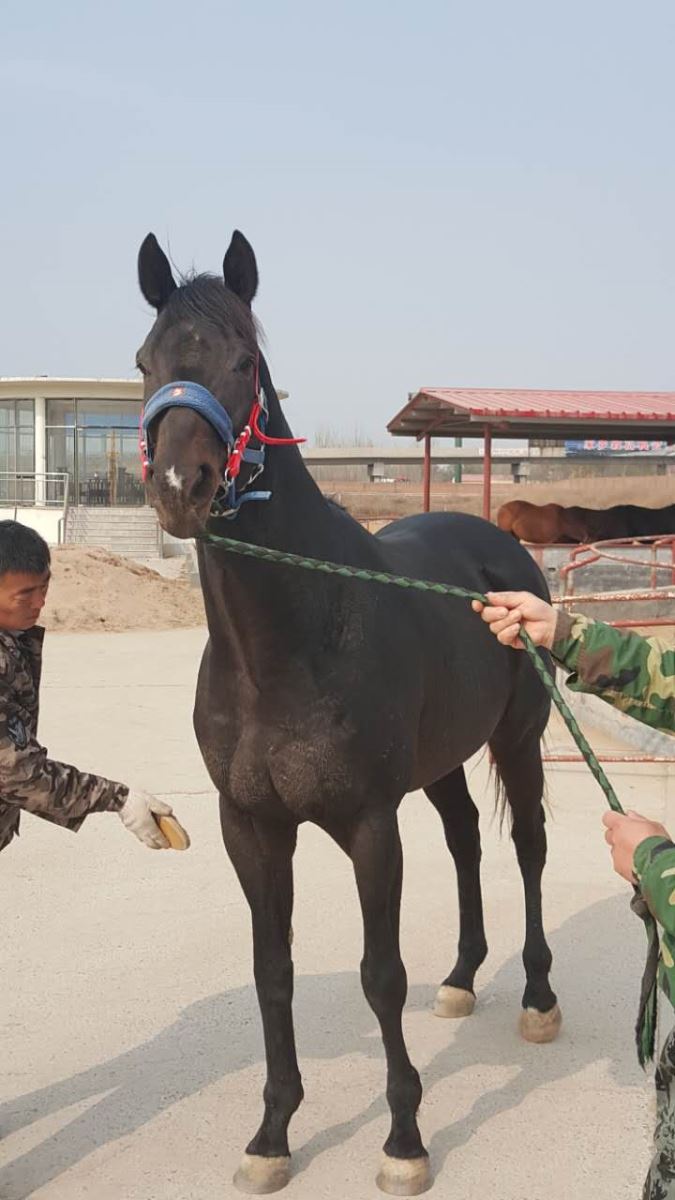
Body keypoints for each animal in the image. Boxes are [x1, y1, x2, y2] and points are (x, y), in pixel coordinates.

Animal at [136, 230, 560, 1196]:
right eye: (143, 363)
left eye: (245, 363)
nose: (182, 485)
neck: (286, 648)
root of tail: (503, 547)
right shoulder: (251, 826)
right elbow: (273, 971)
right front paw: (272, 1134)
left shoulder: (368, 822)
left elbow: (378, 975)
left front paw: (403, 1139)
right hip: (442, 762)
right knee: (466, 841)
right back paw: (462, 976)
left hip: (517, 741)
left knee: (525, 849)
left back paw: (537, 997)